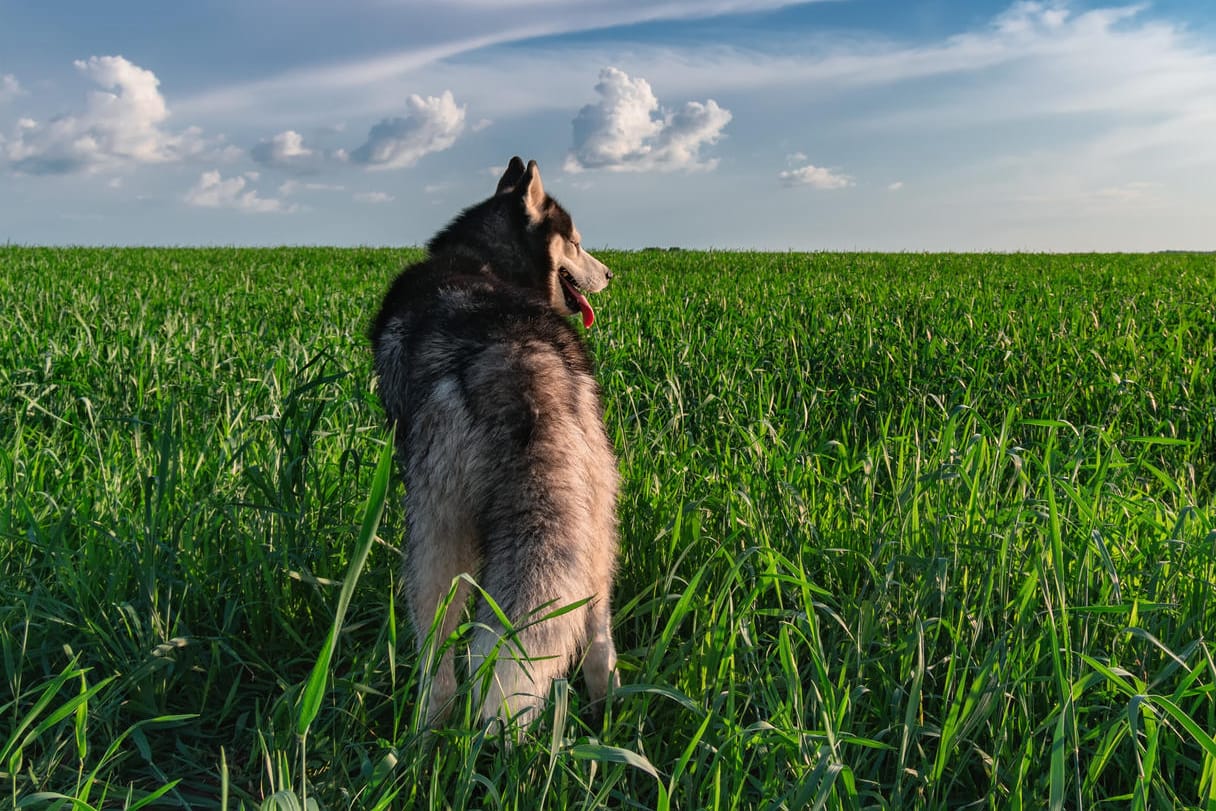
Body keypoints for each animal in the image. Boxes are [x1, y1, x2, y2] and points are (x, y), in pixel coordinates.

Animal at [367, 153, 617, 729]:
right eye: (577, 243)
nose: (610, 274)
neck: (482, 262)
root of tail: (518, 361)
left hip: (435, 530)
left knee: (437, 654)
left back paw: (426, 732)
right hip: (593, 518)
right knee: (596, 625)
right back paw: (609, 711)